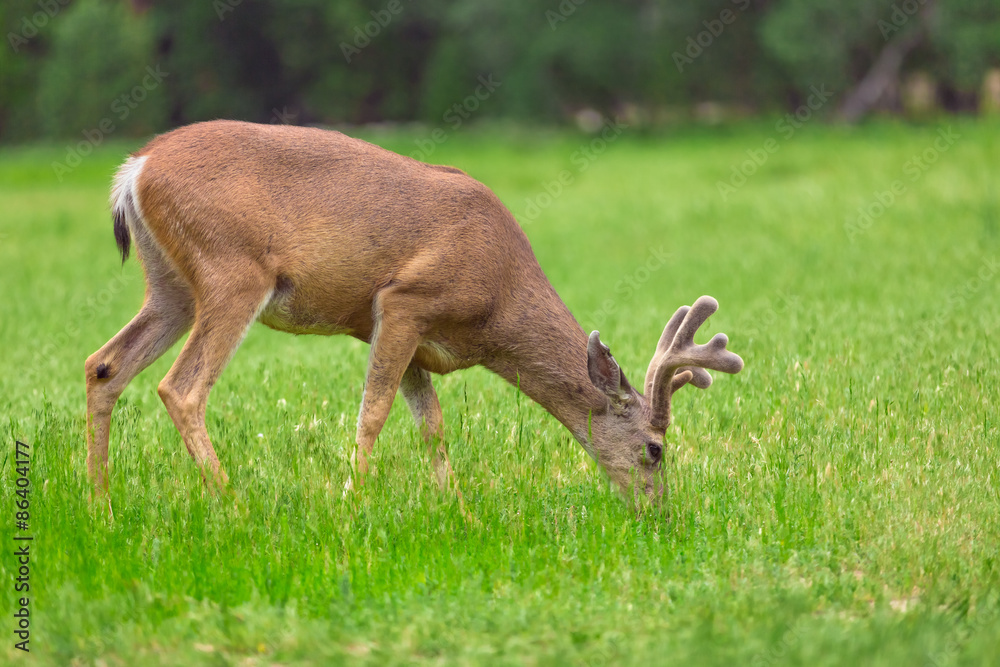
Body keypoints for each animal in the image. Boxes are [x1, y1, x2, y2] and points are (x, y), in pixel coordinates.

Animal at [84, 120, 744, 516]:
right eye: (655, 449)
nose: (658, 514)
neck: (499, 303)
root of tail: (135, 169)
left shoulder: (416, 339)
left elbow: (432, 424)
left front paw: (459, 511)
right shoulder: (404, 301)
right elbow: (374, 411)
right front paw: (353, 503)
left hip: (171, 286)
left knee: (104, 365)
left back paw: (101, 504)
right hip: (232, 270)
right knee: (181, 387)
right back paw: (233, 504)